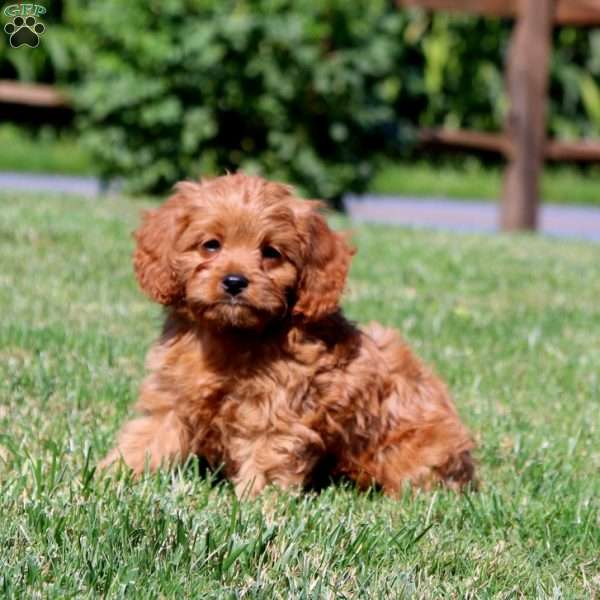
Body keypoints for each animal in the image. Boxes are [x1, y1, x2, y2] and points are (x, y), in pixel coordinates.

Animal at [101, 172, 476, 496]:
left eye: (271, 252)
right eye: (210, 245)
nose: (234, 281)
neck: (232, 336)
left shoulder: (276, 414)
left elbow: (266, 461)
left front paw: (251, 508)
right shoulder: (172, 399)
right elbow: (145, 439)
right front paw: (108, 478)